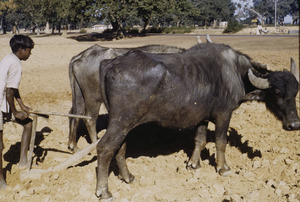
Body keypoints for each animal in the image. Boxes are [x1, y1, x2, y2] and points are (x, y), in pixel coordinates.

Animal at [96, 42, 300, 199]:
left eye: (295, 91)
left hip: (124, 125)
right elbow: (220, 142)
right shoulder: (224, 115)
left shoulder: (203, 118)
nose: (295, 124)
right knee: (105, 148)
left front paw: (193, 164)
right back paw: (104, 191)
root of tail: (111, 64)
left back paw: (128, 177)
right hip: (120, 122)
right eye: (277, 92)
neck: (235, 72)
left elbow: (200, 140)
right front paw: (223, 168)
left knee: (120, 147)